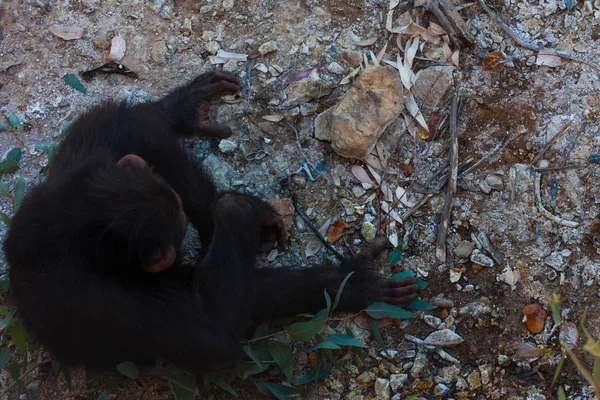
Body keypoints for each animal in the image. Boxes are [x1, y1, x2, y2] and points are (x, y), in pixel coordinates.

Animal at [2, 69, 418, 372]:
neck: (69, 229)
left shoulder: (75, 174)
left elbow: (118, 124)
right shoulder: (106, 304)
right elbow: (211, 334)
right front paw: (239, 211)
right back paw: (354, 284)